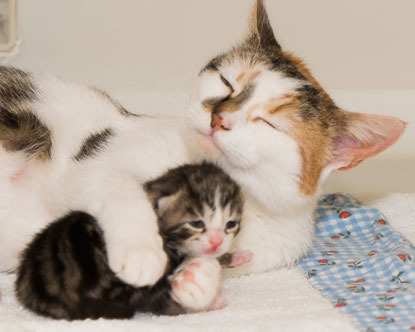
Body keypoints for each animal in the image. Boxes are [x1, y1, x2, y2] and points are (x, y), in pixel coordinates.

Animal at [0, 0, 406, 300]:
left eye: (269, 123)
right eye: (226, 82)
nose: (218, 118)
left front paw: (198, 279)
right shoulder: (95, 164)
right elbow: (121, 187)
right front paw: (142, 251)